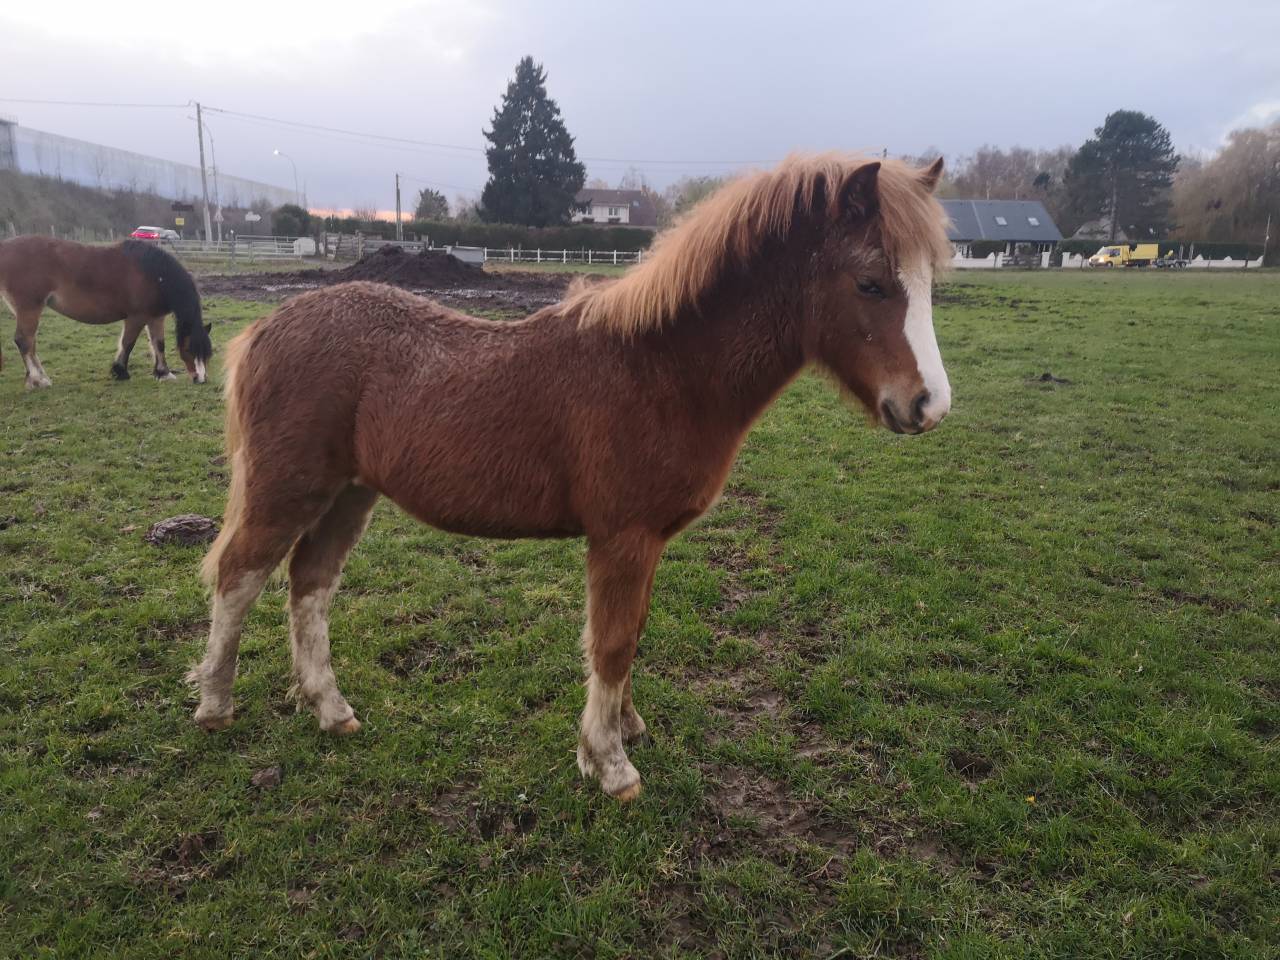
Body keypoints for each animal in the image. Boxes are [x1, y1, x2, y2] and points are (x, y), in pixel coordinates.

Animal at [0, 236, 213, 389]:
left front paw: (163, 373)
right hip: (30, 308)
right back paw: (39, 380)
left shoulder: (155, 317)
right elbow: (128, 343)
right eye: (189, 350)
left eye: (207, 353)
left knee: (30, 343)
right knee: (24, 340)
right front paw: (120, 372)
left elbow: (158, 344)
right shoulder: (136, 317)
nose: (201, 379)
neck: (156, 276)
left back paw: (37, 377)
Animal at [189, 153, 954, 801]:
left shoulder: (647, 543)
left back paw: (331, 709)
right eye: (870, 282)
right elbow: (611, 642)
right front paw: (609, 765)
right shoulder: (622, 537)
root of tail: (264, 328)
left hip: (349, 495)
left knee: (309, 585)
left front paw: (627, 728)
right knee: (240, 575)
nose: (929, 407)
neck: (662, 370)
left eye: (928, 282)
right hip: (289, 489)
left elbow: (633, 633)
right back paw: (215, 704)